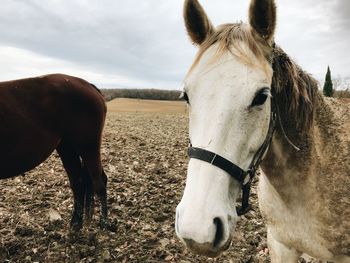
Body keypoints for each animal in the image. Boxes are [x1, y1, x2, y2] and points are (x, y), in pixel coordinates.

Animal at [0, 74, 110, 231]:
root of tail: (89, 86)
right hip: (67, 147)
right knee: (79, 181)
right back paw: (75, 225)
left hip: (88, 147)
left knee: (99, 183)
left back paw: (104, 224)